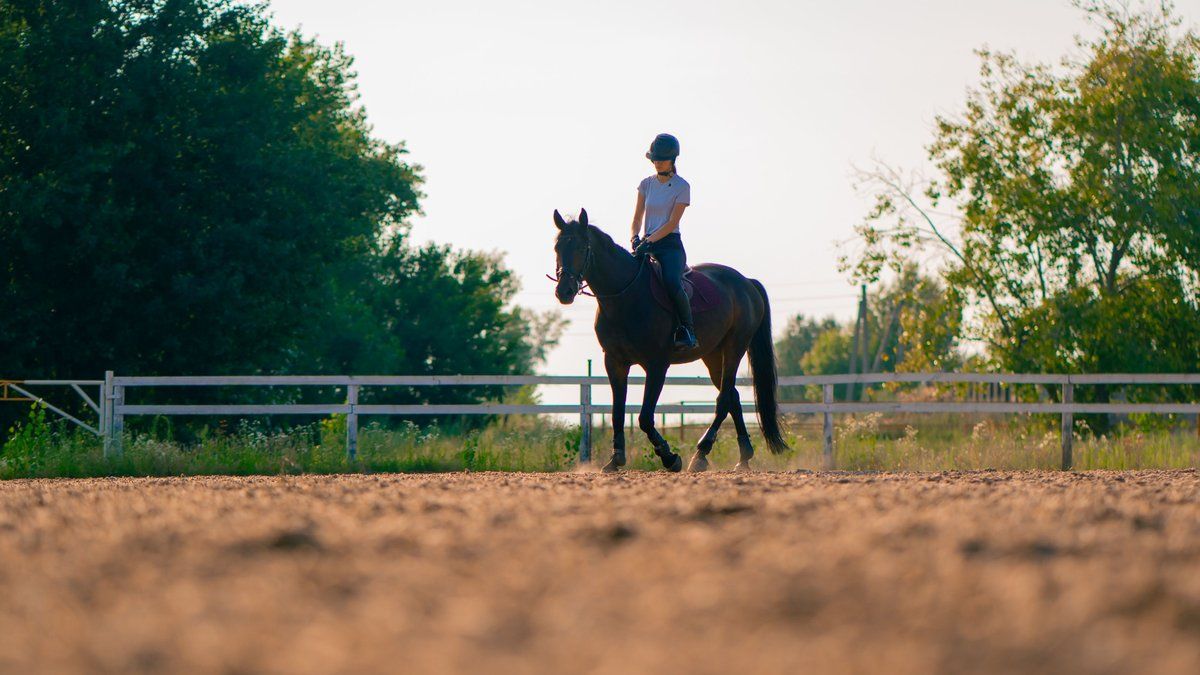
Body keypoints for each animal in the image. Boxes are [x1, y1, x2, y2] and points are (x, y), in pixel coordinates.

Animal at [552, 208, 788, 472]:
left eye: (582, 247)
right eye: (557, 247)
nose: (564, 291)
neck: (625, 296)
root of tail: (746, 282)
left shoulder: (657, 365)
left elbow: (645, 417)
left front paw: (669, 457)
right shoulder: (614, 362)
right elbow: (617, 413)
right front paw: (616, 459)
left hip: (734, 348)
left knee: (724, 398)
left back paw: (701, 453)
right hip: (713, 355)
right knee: (733, 397)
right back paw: (743, 456)